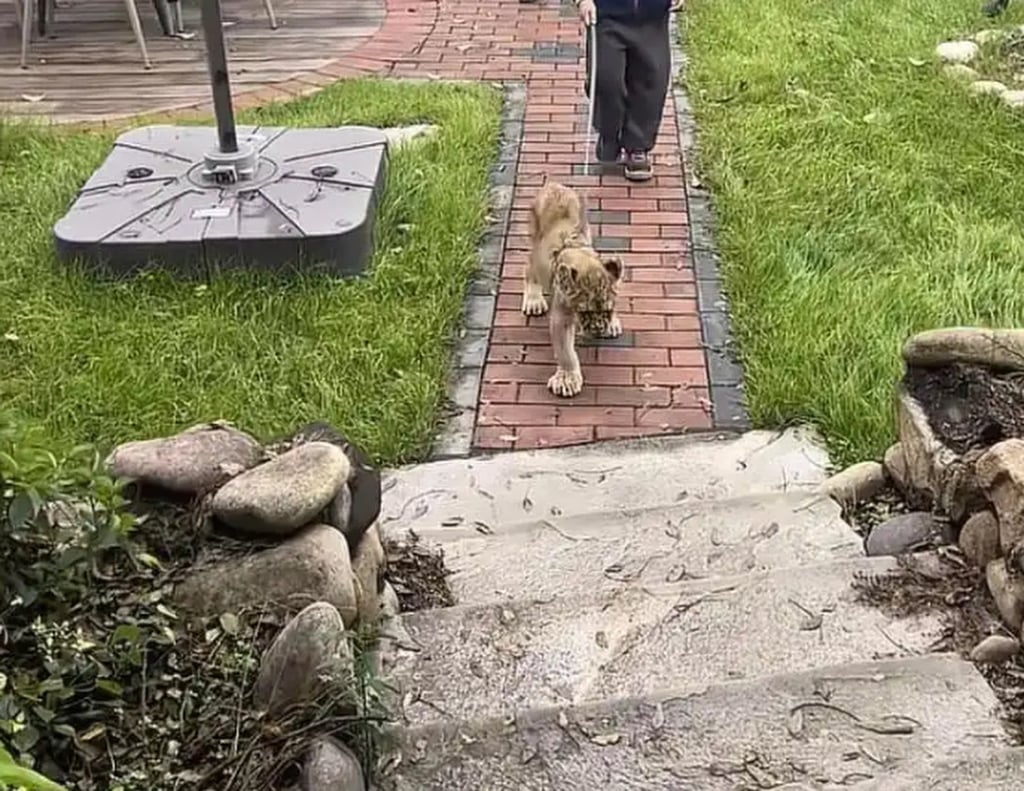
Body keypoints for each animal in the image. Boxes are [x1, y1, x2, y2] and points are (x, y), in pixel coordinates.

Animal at [521, 180, 624, 398]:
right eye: (584, 312)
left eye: (608, 309)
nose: (598, 329)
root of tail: (553, 184)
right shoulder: (562, 314)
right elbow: (565, 352)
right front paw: (567, 380)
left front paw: (612, 323)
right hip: (535, 244)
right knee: (530, 267)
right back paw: (534, 301)